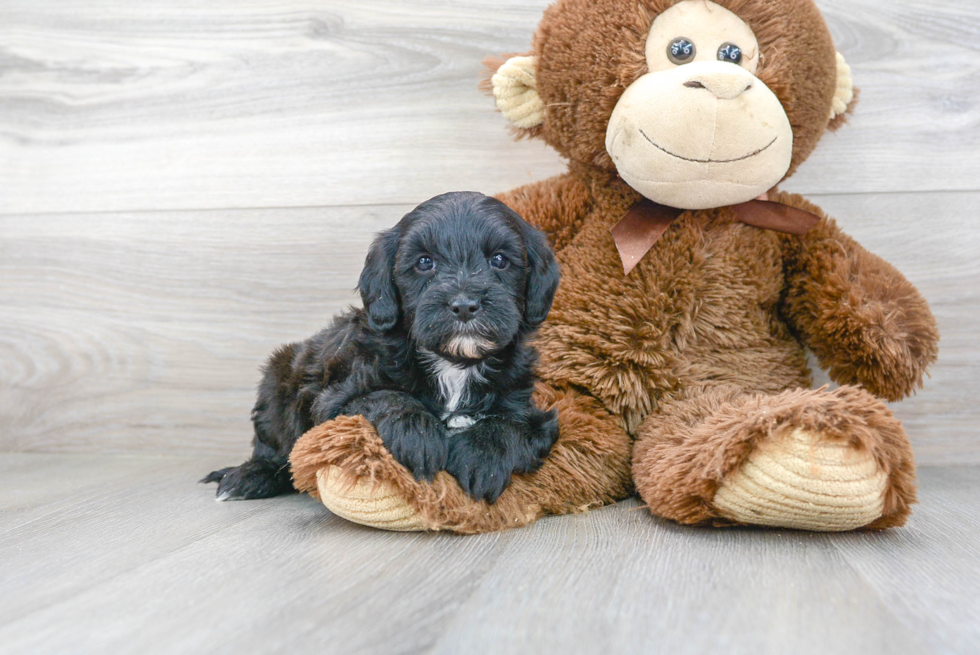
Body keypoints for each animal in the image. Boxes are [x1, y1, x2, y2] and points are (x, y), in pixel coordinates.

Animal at [201, 192, 560, 504]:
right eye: (424, 262)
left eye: (499, 259)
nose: (464, 305)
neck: (454, 364)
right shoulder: (334, 403)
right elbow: (383, 397)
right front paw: (417, 434)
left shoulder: (528, 409)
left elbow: (511, 424)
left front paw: (482, 457)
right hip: (277, 381)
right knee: (276, 449)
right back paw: (249, 477)